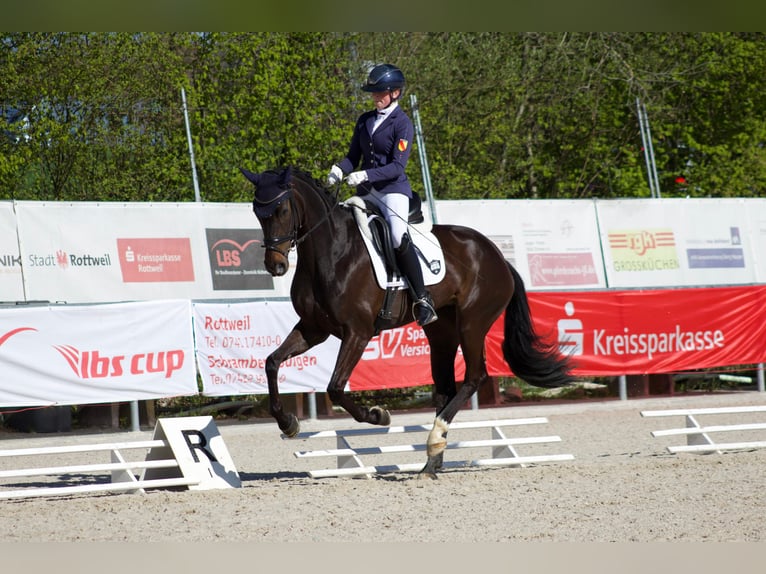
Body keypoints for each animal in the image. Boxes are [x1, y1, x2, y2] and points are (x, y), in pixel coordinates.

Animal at [240, 165, 575, 478]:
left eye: (282, 210)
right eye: (257, 212)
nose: (276, 265)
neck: (332, 252)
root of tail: (498, 256)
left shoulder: (357, 333)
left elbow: (335, 387)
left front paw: (378, 415)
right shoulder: (313, 329)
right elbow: (272, 362)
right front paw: (288, 422)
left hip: (473, 323)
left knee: (474, 377)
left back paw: (435, 438)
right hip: (441, 332)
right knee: (445, 388)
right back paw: (431, 461)